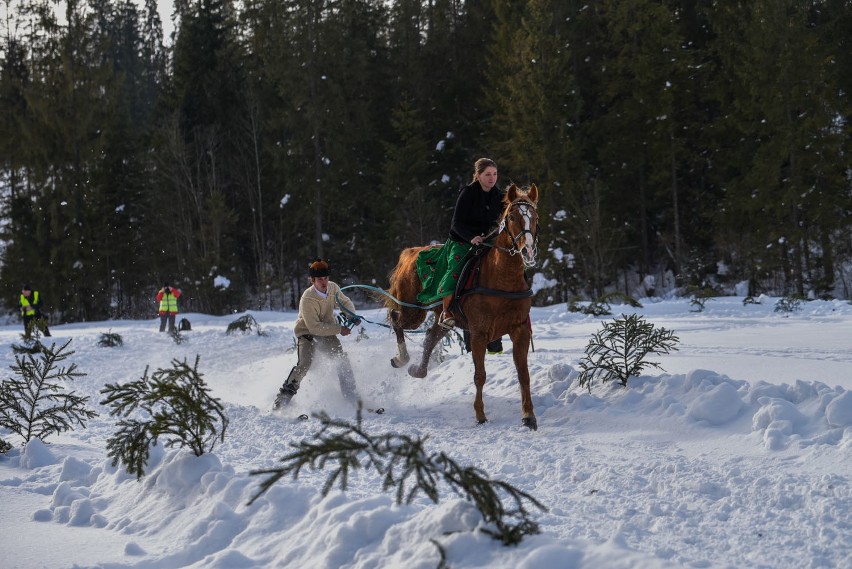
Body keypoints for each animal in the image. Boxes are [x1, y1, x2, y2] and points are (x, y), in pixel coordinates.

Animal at [384, 184, 540, 428]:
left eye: (534, 217)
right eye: (512, 217)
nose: (527, 251)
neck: (502, 278)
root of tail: (410, 253)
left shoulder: (520, 329)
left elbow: (523, 374)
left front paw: (528, 416)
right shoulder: (478, 333)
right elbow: (480, 375)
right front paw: (480, 414)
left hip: (443, 316)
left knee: (430, 336)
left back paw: (418, 370)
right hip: (412, 311)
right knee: (395, 318)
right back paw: (402, 358)